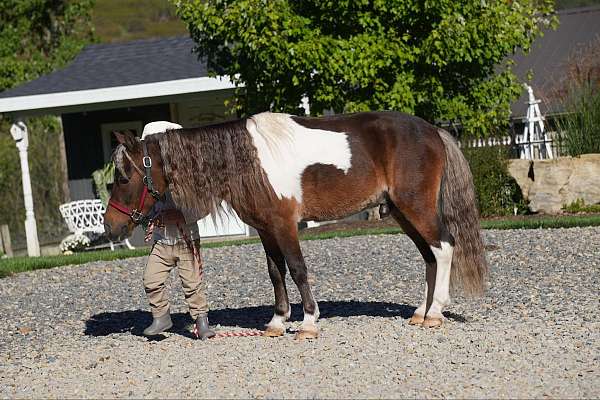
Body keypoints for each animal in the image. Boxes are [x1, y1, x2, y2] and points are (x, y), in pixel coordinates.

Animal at [103, 111, 488, 340]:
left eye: (123, 176)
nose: (111, 227)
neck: (247, 159)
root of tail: (433, 130)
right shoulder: (265, 229)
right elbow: (276, 272)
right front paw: (277, 322)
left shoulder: (285, 225)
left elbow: (298, 268)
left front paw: (308, 322)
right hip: (402, 213)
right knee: (430, 256)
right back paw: (421, 313)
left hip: (416, 207)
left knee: (444, 248)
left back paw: (435, 313)